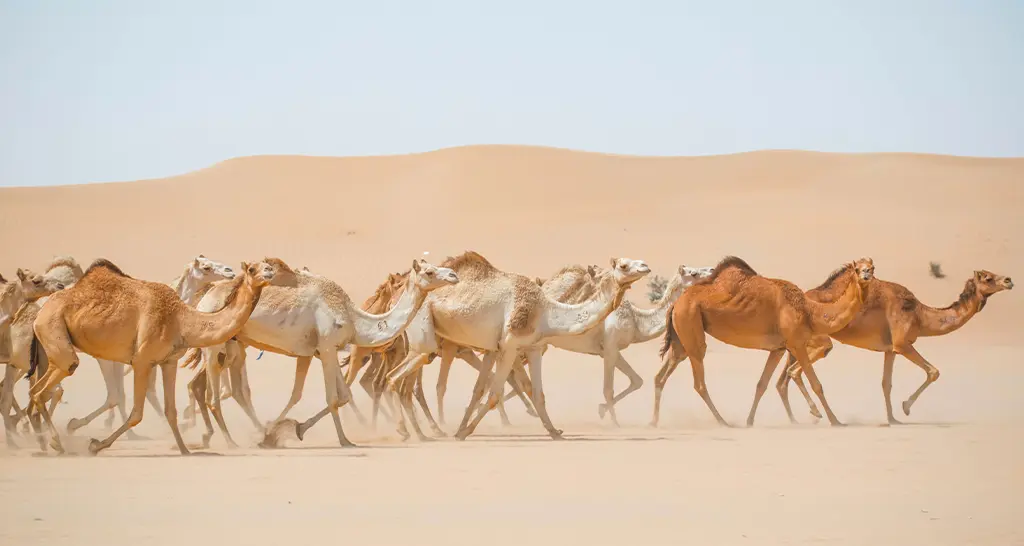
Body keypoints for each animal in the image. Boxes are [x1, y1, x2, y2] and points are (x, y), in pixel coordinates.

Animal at [27, 257, 276, 452]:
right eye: (252, 269)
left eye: (267, 265)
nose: (270, 271)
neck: (181, 320)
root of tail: (40, 311)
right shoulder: (142, 360)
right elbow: (137, 413)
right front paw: (97, 445)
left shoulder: (169, 361)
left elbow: (171, 411)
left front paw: (184, 450)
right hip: (55, 333)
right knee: (47, 386)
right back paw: (55, 441)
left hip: (52, 348)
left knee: (36, 390)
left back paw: (43, 439)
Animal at [182, 255, 458, 446]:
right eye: (430, 271)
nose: (454, 275)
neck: (354, 317)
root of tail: (204, 298)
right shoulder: (326, 347)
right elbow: (333, 398)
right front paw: (343, 440)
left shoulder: (327, 349)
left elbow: (343, 395)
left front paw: (292, 429)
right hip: (215, 344)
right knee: (214, 395)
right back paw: (229, 440)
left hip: (234, 344)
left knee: (233, 390)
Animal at [376, 248, 647, 440]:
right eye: (623, 265)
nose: (645, 265)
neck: (544, 311)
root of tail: (398, 297)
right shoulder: (508, 345)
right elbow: (494, 393)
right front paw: (465, 432)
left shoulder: (531, 347)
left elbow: (534, 392)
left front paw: (554, 432)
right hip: (424, 336)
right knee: (395, 378)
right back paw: (407, 431)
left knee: (402, 383)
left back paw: (418, 431)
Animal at [651, 257, 876, 428]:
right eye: (858, 268)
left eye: (872, 267)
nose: (867, 274)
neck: (811, 311)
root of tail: (675, 305)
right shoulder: (796, 343)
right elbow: (817, 384)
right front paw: (832, 419)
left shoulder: (778, 348)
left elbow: (762, 384)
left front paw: (750, 421)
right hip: (691, 324)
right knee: (699, 382)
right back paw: (723, 421)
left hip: (681, 338)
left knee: (661, 376)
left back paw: (654, 422)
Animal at [778, 270, 1011, 424]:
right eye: (988, 278)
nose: (1009, 280)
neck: (919, 314)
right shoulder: (902, 343)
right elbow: (933, 371)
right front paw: (906, 407)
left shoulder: (890, 350)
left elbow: (886, 383)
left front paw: (892, 419)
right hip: (819, 340)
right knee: (796, 371)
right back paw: (823, 416)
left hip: (798, 345)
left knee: (785, 379)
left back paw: (802, 418)